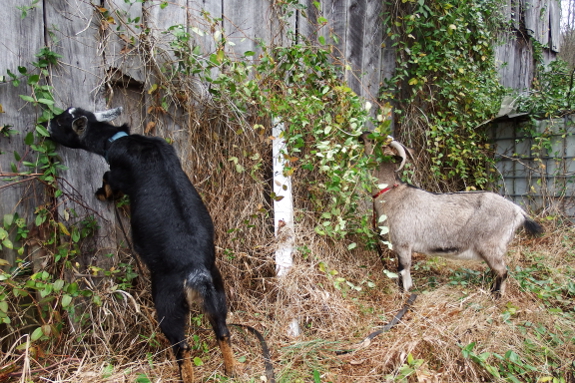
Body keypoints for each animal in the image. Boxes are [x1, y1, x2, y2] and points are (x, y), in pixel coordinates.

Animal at [47, 107, 234, 380]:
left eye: (62, 122)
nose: (47, 123)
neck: (118, 139)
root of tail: (196, 272)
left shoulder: (117, 173)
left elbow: (107, 178)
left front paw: (100, 194)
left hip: (168, 299)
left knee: (181, 344)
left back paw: (185, 375)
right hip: (217, 291)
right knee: (222, 330)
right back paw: (230, 370)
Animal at [364, 135, 544, 296]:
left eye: (373, 140)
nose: (361, 136)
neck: (391, 194)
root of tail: (519, 212)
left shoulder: (403, 243)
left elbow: (403, 271)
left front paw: (403, 293)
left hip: (491, 246)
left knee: (502, 272)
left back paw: (496, 296)